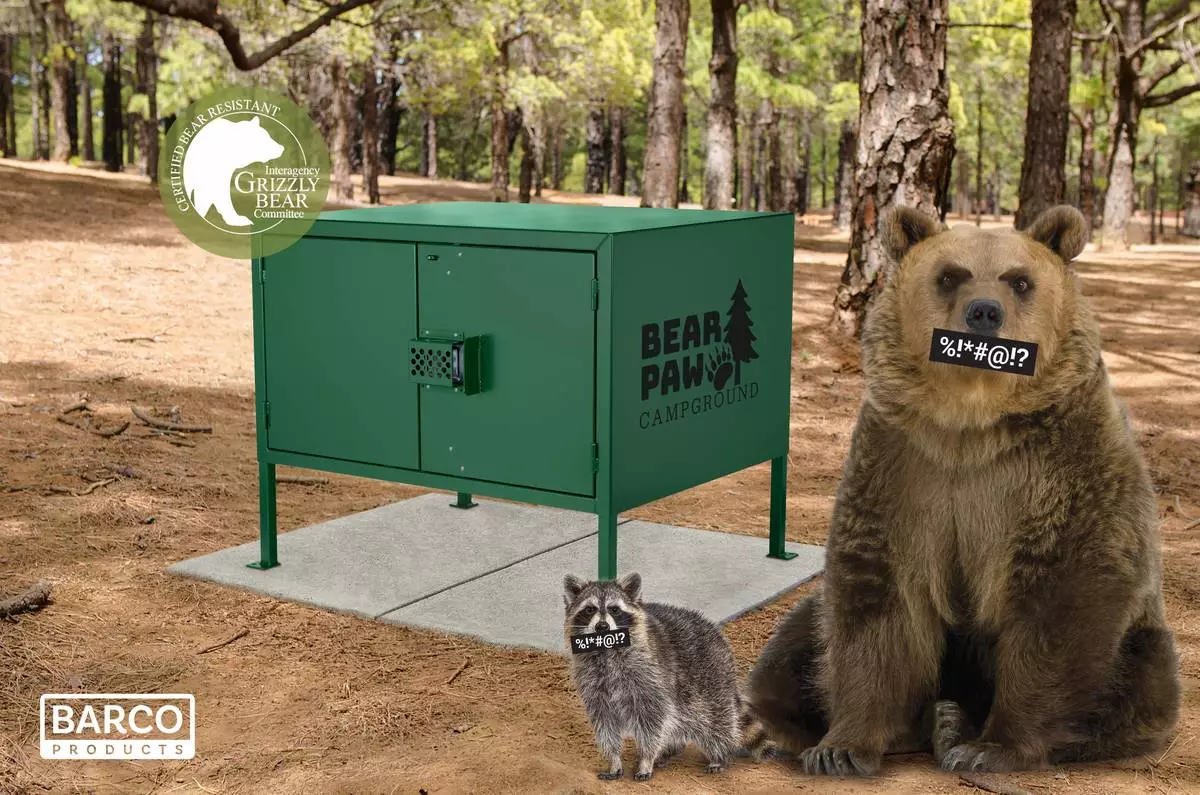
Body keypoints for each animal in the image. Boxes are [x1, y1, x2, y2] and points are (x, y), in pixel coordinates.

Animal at [746, 205, 1180, 776]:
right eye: (950, 275)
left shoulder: (1062, 463)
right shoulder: (905, 465)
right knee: (795, 643)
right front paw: (841, 748)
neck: (971, 424)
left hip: (1139, 643)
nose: (984, 313)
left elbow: (1065, 592)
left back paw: (961, 725)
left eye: (1020, 280)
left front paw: (990, 747)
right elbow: (878, 599)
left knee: (1140, 680)